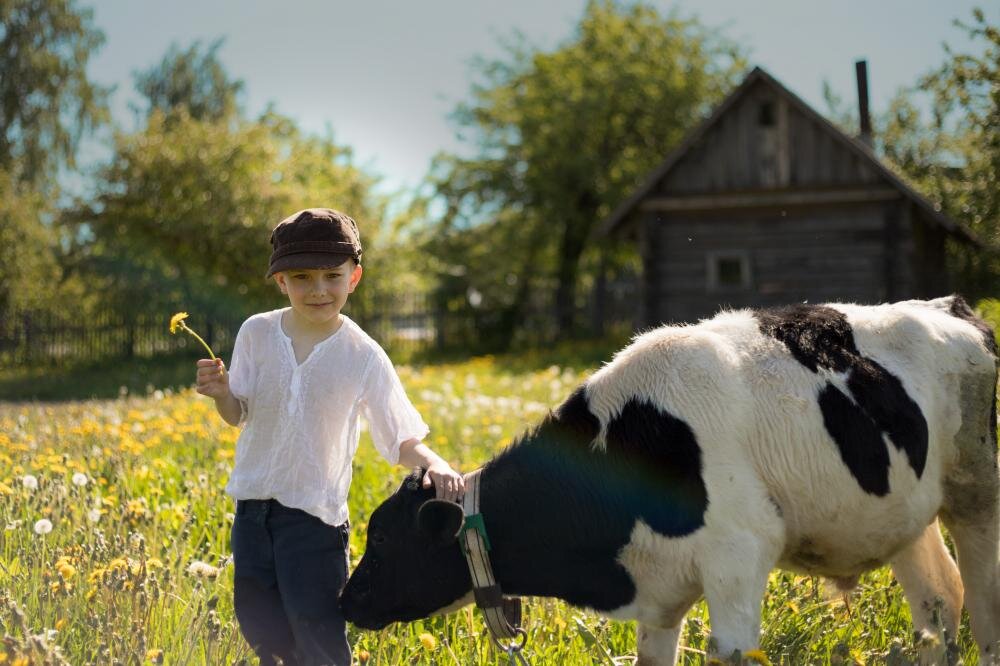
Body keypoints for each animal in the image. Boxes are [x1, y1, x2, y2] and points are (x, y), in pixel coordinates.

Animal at [340, 298, 996, 660]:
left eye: (385, 539)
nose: (346, 599)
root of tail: (950, 306)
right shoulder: (658, 603)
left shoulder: (739, 558)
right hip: (903, 515)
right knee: (939, 606)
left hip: (977, 493)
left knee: (983, 602)